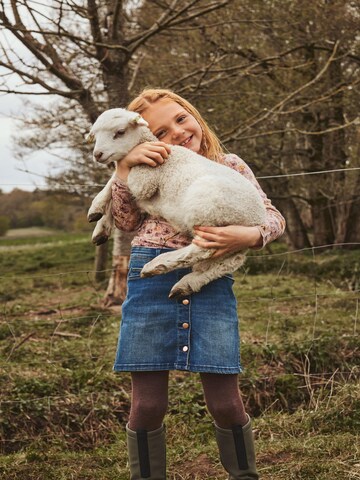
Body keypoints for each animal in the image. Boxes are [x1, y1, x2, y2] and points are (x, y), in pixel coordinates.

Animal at [87, 108, 268, 300]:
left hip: (209, 208)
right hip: (233, 242)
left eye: (120, 132)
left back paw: (157, 265)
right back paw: (187, 284)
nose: (97, 154)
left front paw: (97, 207)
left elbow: (116, 178)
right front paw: (100, 224)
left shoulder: (144, 182)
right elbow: (115, 190)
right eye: (95, 135)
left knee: (203, 249)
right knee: (228, 263)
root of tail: (258, 219)